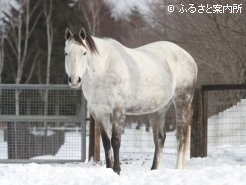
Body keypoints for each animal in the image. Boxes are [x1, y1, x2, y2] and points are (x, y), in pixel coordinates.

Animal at [64, 26, 198, 174]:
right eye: (66, 53)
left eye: (84, 53)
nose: (74, 80)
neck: (104, 69)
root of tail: (188, 57)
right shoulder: (98, 112)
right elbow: (106, 142)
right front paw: (109, 169)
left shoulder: (118, 110)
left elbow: (115, 140)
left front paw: (117, 170)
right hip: (159, 109)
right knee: (160, 138)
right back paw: (153, 169)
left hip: (182, 101)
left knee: (181, 135)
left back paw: (177, 168)